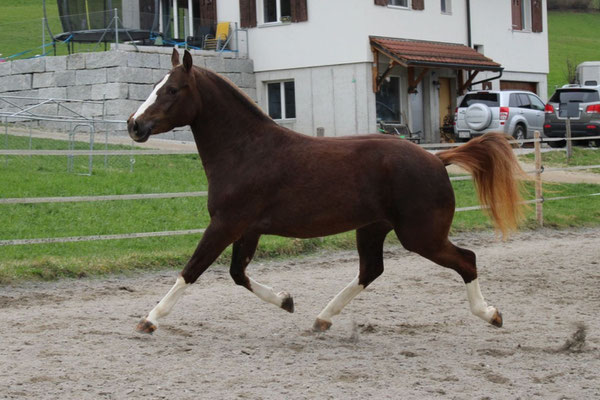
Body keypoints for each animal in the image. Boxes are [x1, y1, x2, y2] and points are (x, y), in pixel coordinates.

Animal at [127, 50, 524, 336]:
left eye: (171, 90)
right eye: (156, 86)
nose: (134, 125)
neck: (247, 151)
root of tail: (438, 159)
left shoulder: (226, 224)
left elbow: (192, 270)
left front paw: (150, 319)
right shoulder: (247, 229)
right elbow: (238, 273)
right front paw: (286, 301)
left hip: (420, 236)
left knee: (466, 259)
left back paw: (491, 314)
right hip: (373, 228)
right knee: (371, 270)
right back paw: (322, 318)